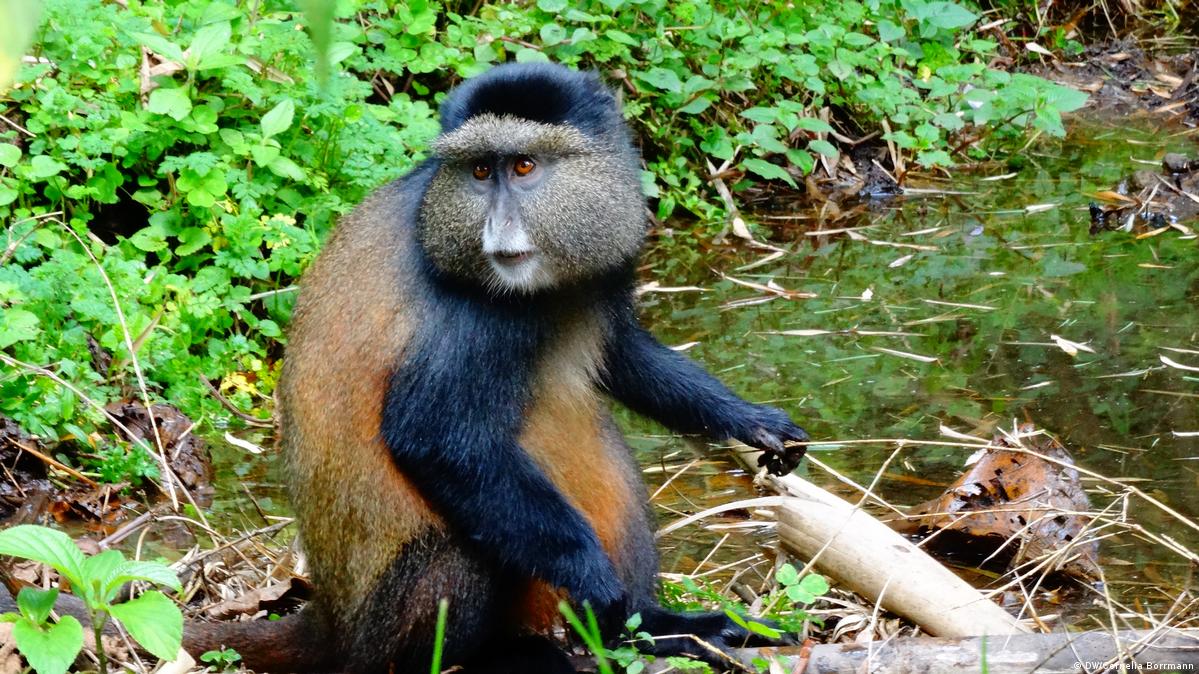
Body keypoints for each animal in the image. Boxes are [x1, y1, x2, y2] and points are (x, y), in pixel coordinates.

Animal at [195, 62, 809, 673]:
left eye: (524, 166)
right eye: (480, 171)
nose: (497, 226)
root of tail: (331, 627)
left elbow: (621, 356)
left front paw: (753, 421)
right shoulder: (473, 308)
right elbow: (434, 438)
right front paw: (600, 587)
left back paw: (655, 629)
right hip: (387, 631)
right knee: (459, 552)